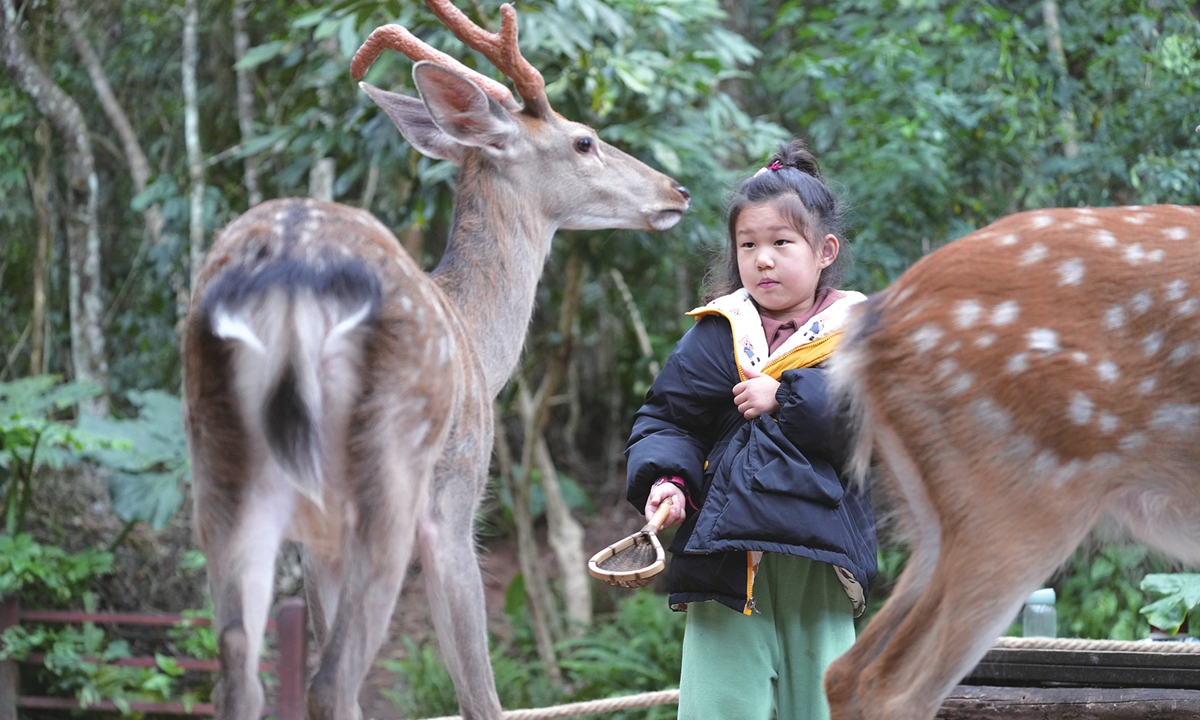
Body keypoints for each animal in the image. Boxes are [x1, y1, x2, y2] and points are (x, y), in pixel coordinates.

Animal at [181, 1, 690, 718]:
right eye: (584, 140)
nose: (676, 189)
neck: (480, 343)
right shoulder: (458, 493)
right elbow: (480, 693)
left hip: (220, 464)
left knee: (239, 673)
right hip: (389, 465)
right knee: (330, 682)